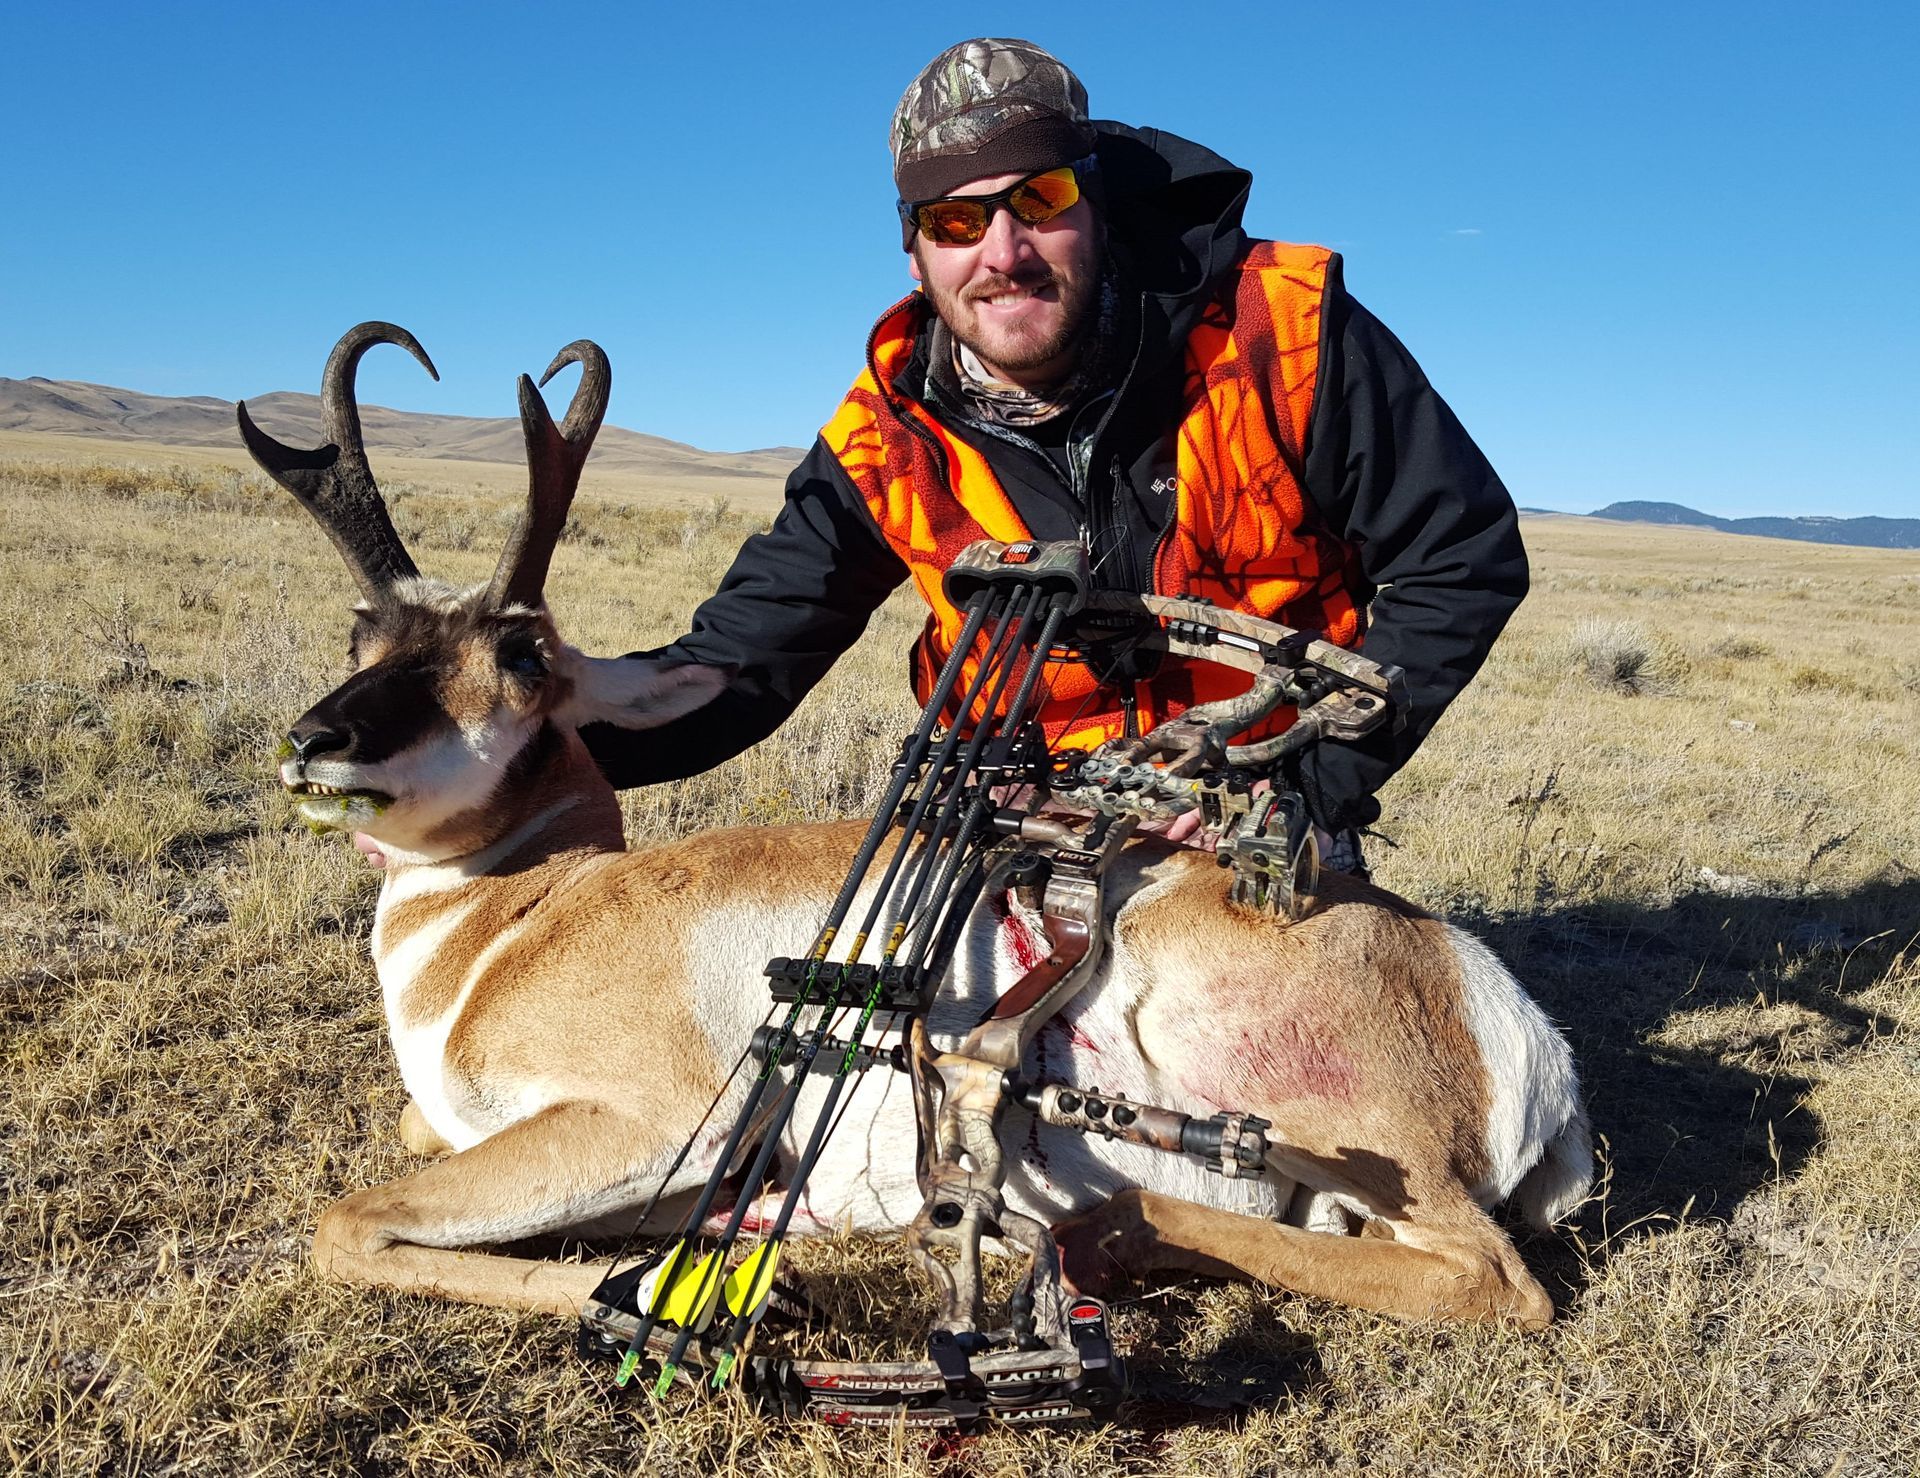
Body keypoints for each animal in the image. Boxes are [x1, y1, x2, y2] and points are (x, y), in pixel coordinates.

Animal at [241, 323, 1592, 1337]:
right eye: (365, 634)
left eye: (522, 654)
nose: (315, 740)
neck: (519, 916)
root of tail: (1489, 995)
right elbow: (403, 1142)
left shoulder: (649, 1123)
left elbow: (345, 1222)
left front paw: (684, 1287)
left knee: (1493, 1280)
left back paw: (1085, 1234)